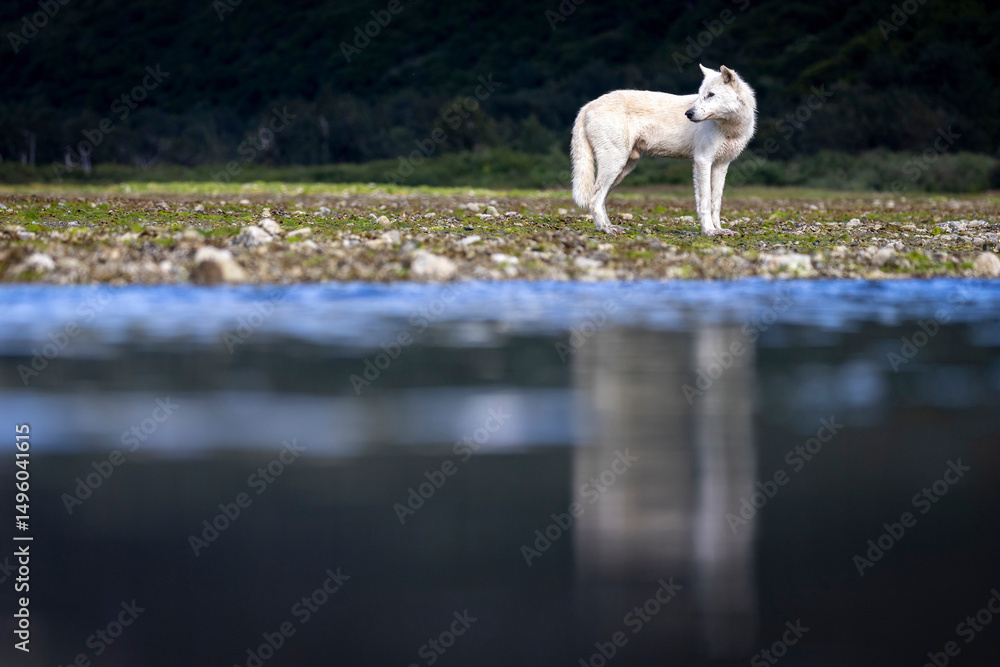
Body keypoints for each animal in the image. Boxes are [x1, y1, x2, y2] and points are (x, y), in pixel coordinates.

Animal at [571, 64, 756, 236]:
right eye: (700, 94)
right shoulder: (702, 161)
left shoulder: (721, 165)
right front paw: (709, 231)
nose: (688, 113)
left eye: (710, 95)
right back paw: (607, 229)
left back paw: (609, 227)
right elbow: (704, 202)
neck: (731, 128)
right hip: (615, 165)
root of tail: (588, 105)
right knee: (594, 199)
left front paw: (720, 230)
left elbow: (715, 203)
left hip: (623, 169)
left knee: (598, 200)